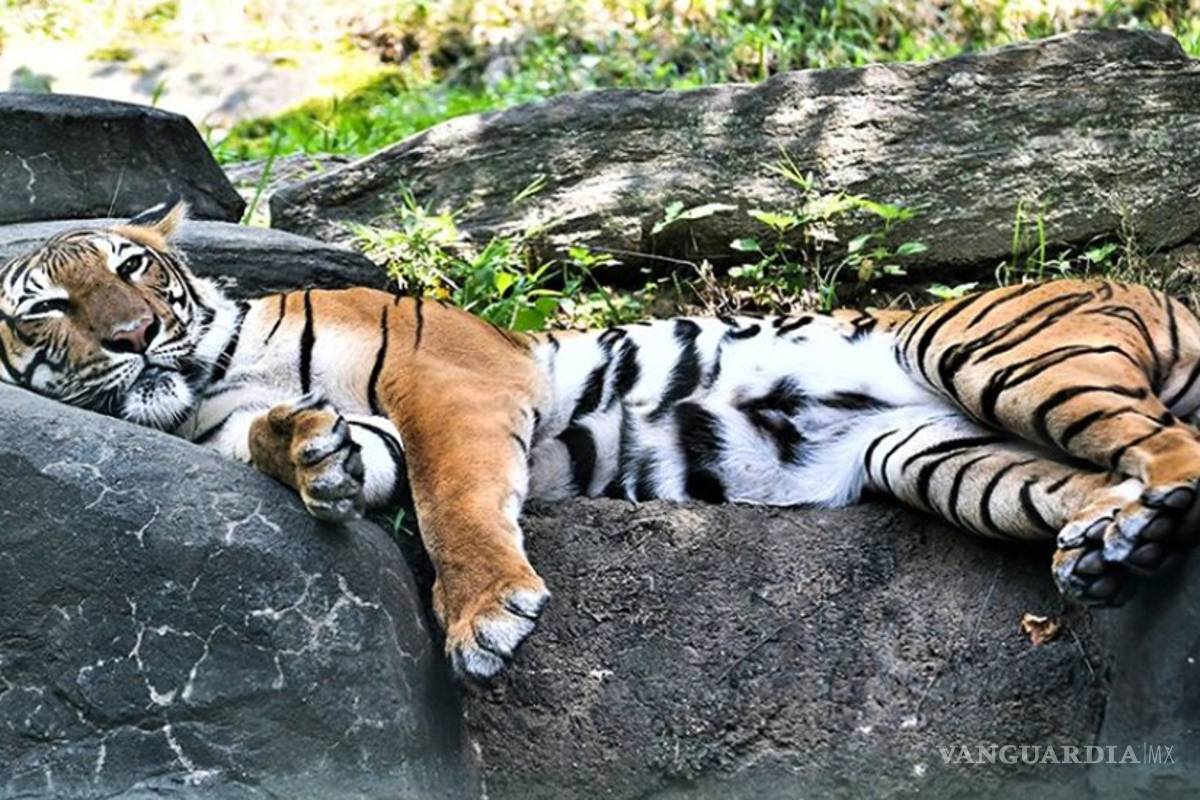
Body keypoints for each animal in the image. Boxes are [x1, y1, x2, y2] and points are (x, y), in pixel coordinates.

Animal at [2, 196, 1198, 680]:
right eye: (44, 310)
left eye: (135, 266)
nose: (135, 333)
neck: (212, 370)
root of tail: (1147, 287)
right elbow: (337, 454)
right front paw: (307, 451)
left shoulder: (449, 380)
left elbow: (452, 503)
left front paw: (484, 616)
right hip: (939, 456)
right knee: (1091, 474)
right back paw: (1112, 543)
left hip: (981, 344)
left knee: (1173, 448)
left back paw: (1146, 518)